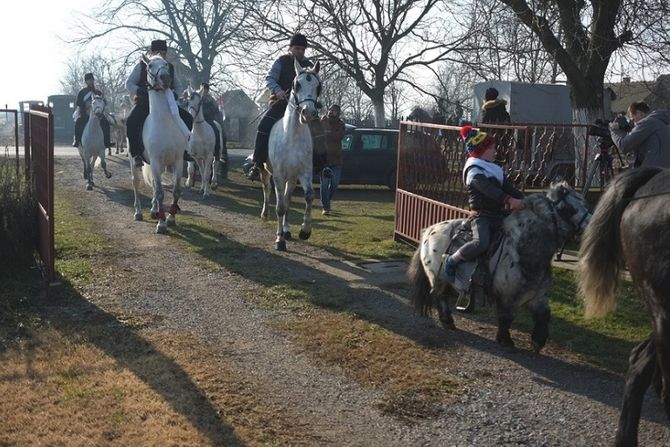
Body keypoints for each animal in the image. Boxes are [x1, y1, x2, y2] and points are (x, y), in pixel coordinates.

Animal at [131, 53, 189, 234]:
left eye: (166, 64)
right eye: (149, 66)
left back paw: (154, 210)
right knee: (137, 183)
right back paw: (138, 212)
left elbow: (176, 191)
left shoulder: (178, 160)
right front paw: (161, 223)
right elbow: (160, 192)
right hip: (134, 160)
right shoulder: (156, 161)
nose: (165, 77)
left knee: (154, 186)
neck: (165, 123)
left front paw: (170, 218)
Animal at [262, 58, 322, 252]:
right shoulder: (279, 176)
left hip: (292, 177)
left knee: (287, 199)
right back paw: (266, 216)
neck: (292, 136)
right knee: (267, 190)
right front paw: (279, 240)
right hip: (266, 172)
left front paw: (305, 231)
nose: (308, 112)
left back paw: (287, 230)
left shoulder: (304, 173)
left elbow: (308, 196)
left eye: (318, 86)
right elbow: (280, 207)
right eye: (297, 84)